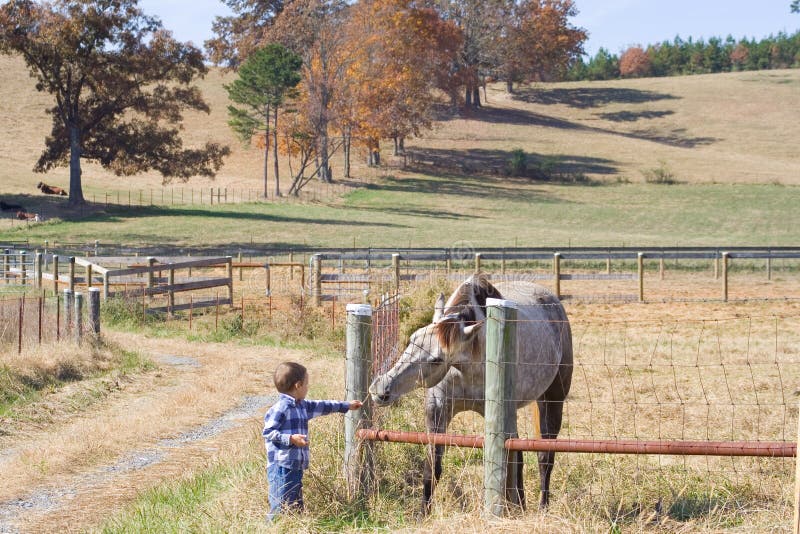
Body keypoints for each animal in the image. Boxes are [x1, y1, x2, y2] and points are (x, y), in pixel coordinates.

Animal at [369, 274, 573, 514]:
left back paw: (541, 507)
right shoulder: (438, 408)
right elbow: (432, 468)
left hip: (552, 399)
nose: (381, 389)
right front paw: (422, 514)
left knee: (544, 457)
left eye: (436, 359)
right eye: (412, 339)